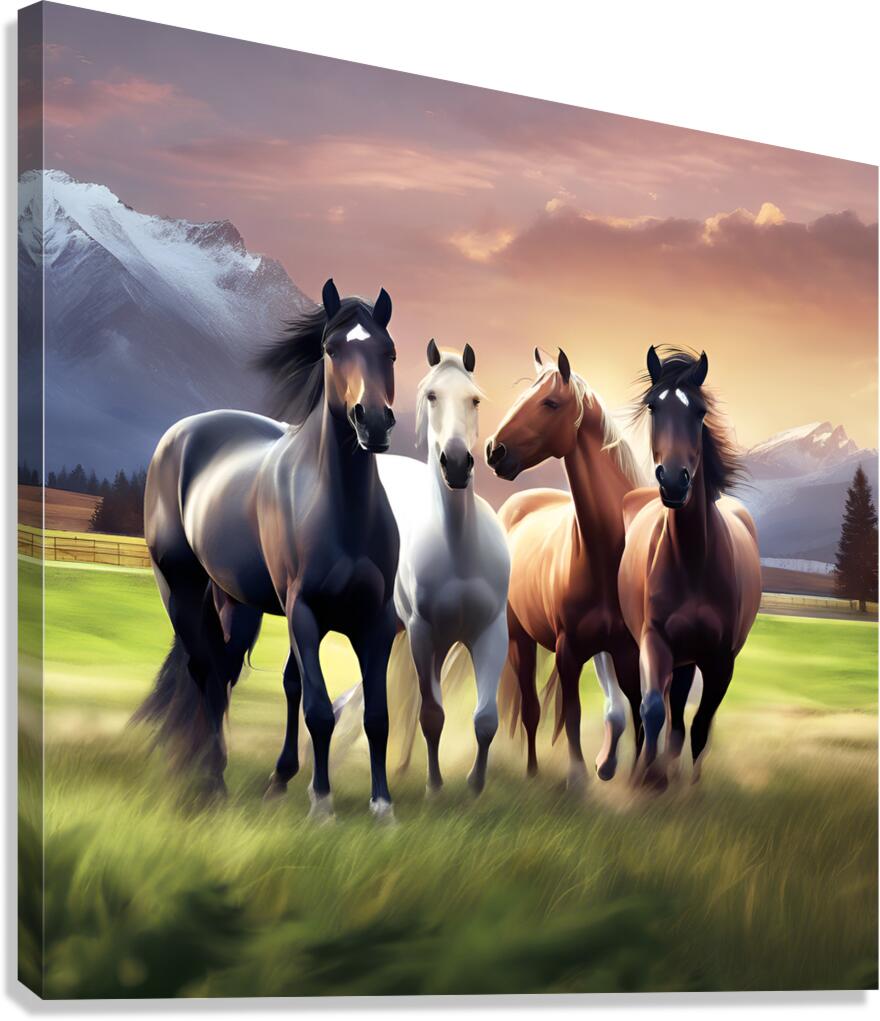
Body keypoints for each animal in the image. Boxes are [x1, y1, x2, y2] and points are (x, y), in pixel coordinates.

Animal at [135, 279, 401, 822]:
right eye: (332, 349)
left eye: (389, 351)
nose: (374, 422)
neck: (341, 508)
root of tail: (180, 434)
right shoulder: (304, 613)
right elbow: (319, 710)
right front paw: (322, 805)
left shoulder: (376, 621)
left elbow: (376, 715)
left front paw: (382, 807)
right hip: (180, 590)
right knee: (204, 671)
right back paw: (211, 780)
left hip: (236, 604)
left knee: (225, 671)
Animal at [377, 340, 510, 794]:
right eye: (432, 395)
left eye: (475, 399)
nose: (455, 463)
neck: (459, 553)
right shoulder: (421, 633)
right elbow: (432, 715)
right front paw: (434, 785)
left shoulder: (491, 632)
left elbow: (486, 719)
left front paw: (475, 784)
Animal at [484, 348, 648, 790]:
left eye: (551, 403)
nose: (493, 451)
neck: (602, 557)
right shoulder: (568, 651)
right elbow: (570, 713)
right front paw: (577, 778)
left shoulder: (626, 650)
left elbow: (638, 710)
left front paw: (637, 779)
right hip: (520, 640)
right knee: (530, 709)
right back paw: (532, 771)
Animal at [617, 346, 761, 789]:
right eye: (653, 406)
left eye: (699, 412)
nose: (675, 482)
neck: (693, 560)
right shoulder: (655, 641)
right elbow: (652, 710)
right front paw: (647, 780)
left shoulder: (720, 660)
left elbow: (700, 726)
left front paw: (690, 788)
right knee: (663, 712)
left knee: (685, 719)